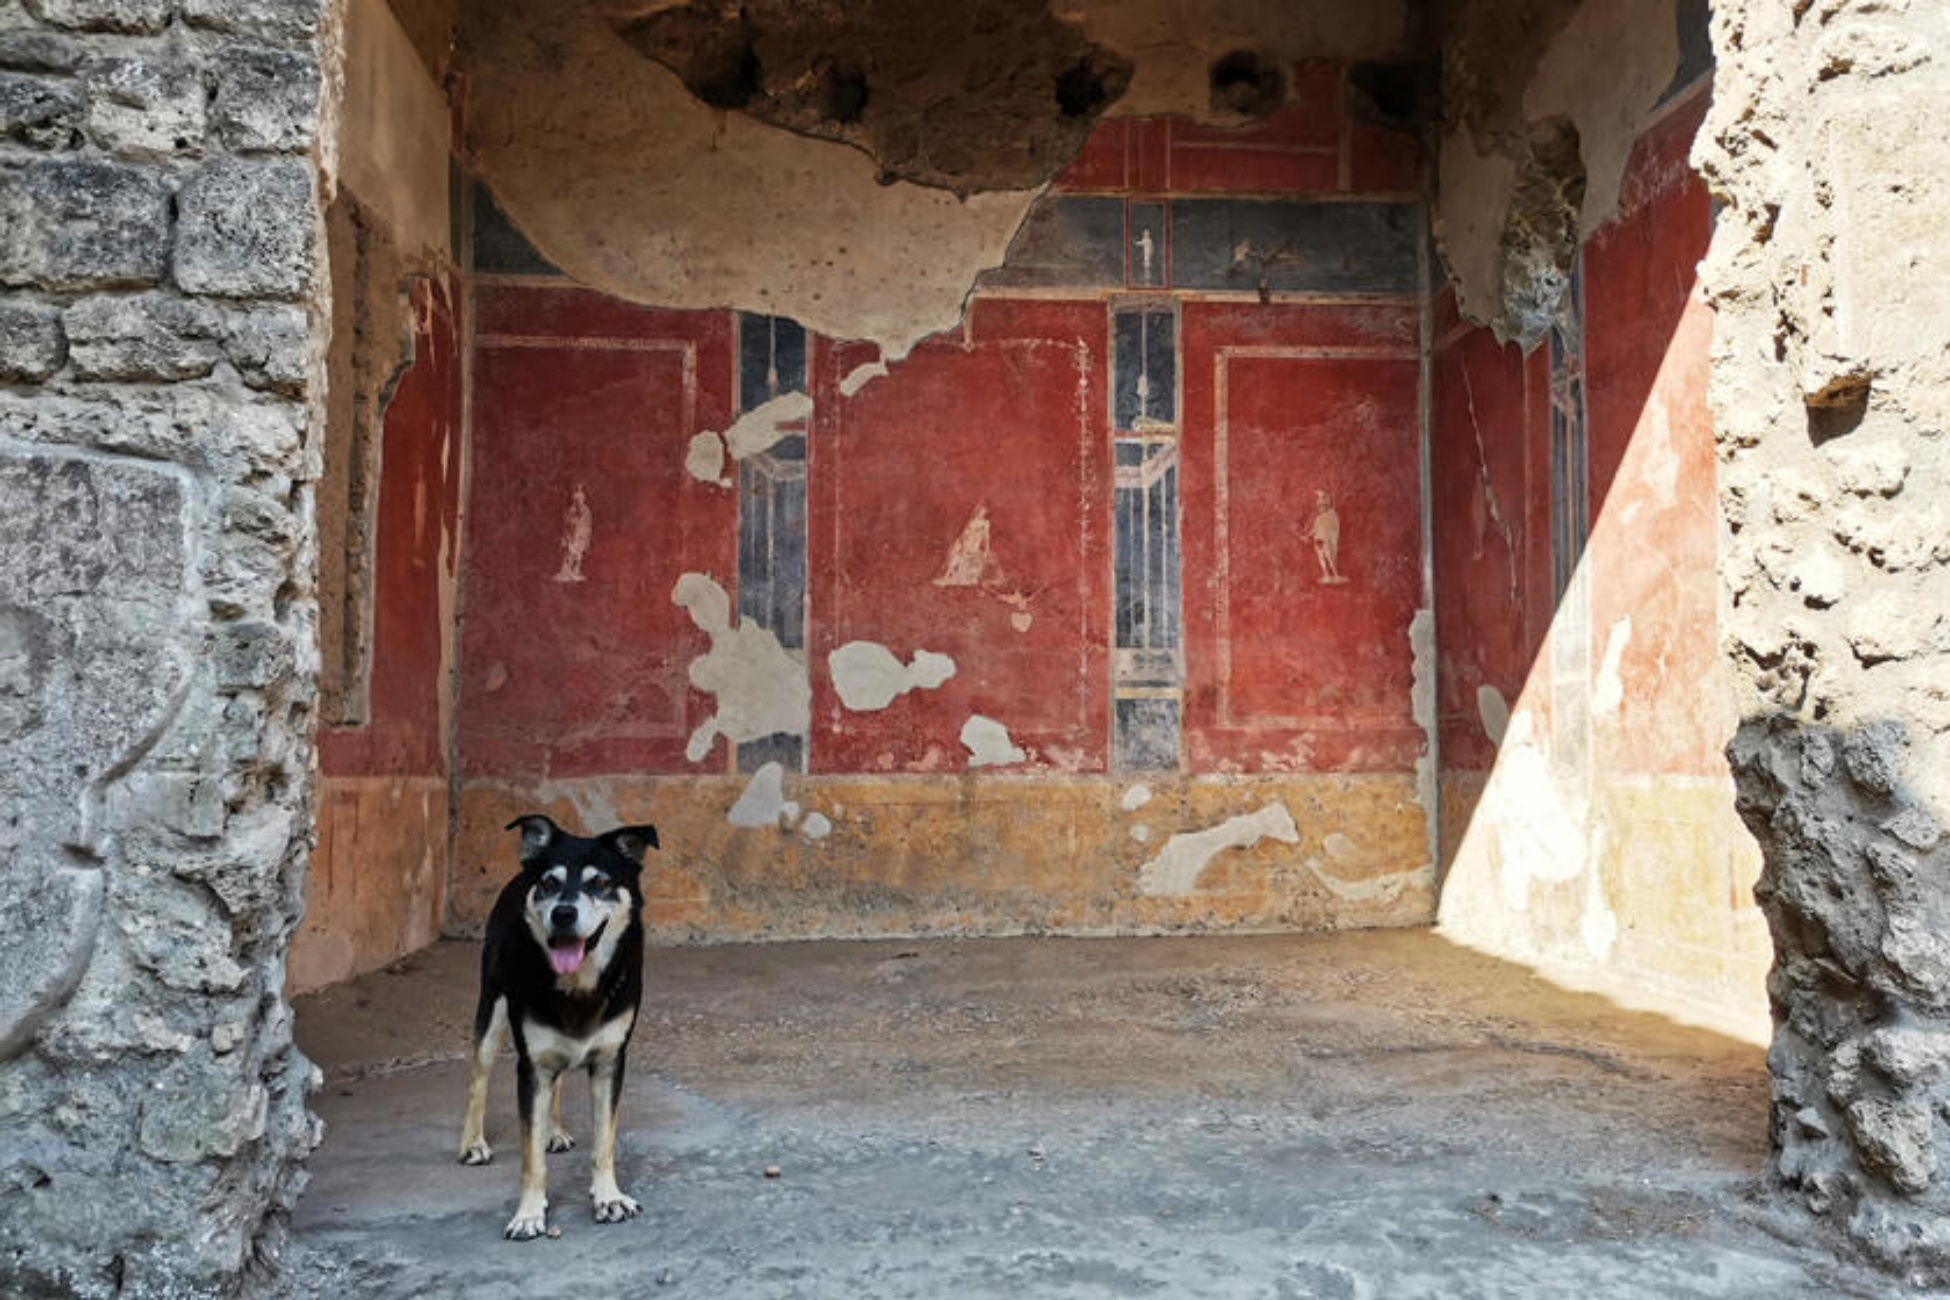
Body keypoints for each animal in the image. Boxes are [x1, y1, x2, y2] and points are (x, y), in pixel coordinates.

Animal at [454, 814, 655, 1239]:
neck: (578, 986)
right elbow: (531, 1158)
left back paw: (554, 1131)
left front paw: (609, 1198)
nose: (563, 914)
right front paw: (529, 1214)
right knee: (479, 1076)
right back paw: (473, 1143)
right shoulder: (531, 1066)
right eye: (549, 883)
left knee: (558, 1081)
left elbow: (604, 1144)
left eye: (600, 883)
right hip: (493, 1006)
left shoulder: (610, 1062)